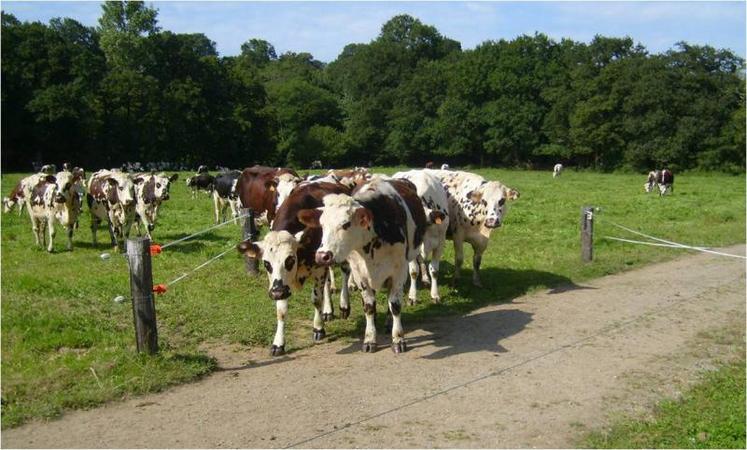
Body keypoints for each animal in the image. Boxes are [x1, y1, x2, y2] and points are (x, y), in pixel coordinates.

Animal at [236, 182, 353, 356]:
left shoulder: (318, 269)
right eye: (266, 264)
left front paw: (318, 328)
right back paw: (328, 310)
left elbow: (316, 299)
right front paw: (278, 343)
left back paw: (344, 305)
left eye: (290, 259)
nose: (277, 293)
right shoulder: (281, 284)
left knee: (345, 272)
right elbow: (281, 311)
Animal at [299, 175, 427, 353]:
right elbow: (369, 307)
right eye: (322, 224)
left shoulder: (399, 271)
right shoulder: (360, 274)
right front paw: (370, 339)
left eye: (346, 224)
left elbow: (395, 305)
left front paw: (398, 339)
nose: (322, 256)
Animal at [393, 170, 449, 304]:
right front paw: (412, 296)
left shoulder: (440, 243)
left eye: (426, 223)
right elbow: (413, 271)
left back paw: (425, 278)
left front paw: (435, 294)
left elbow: (434, 270)